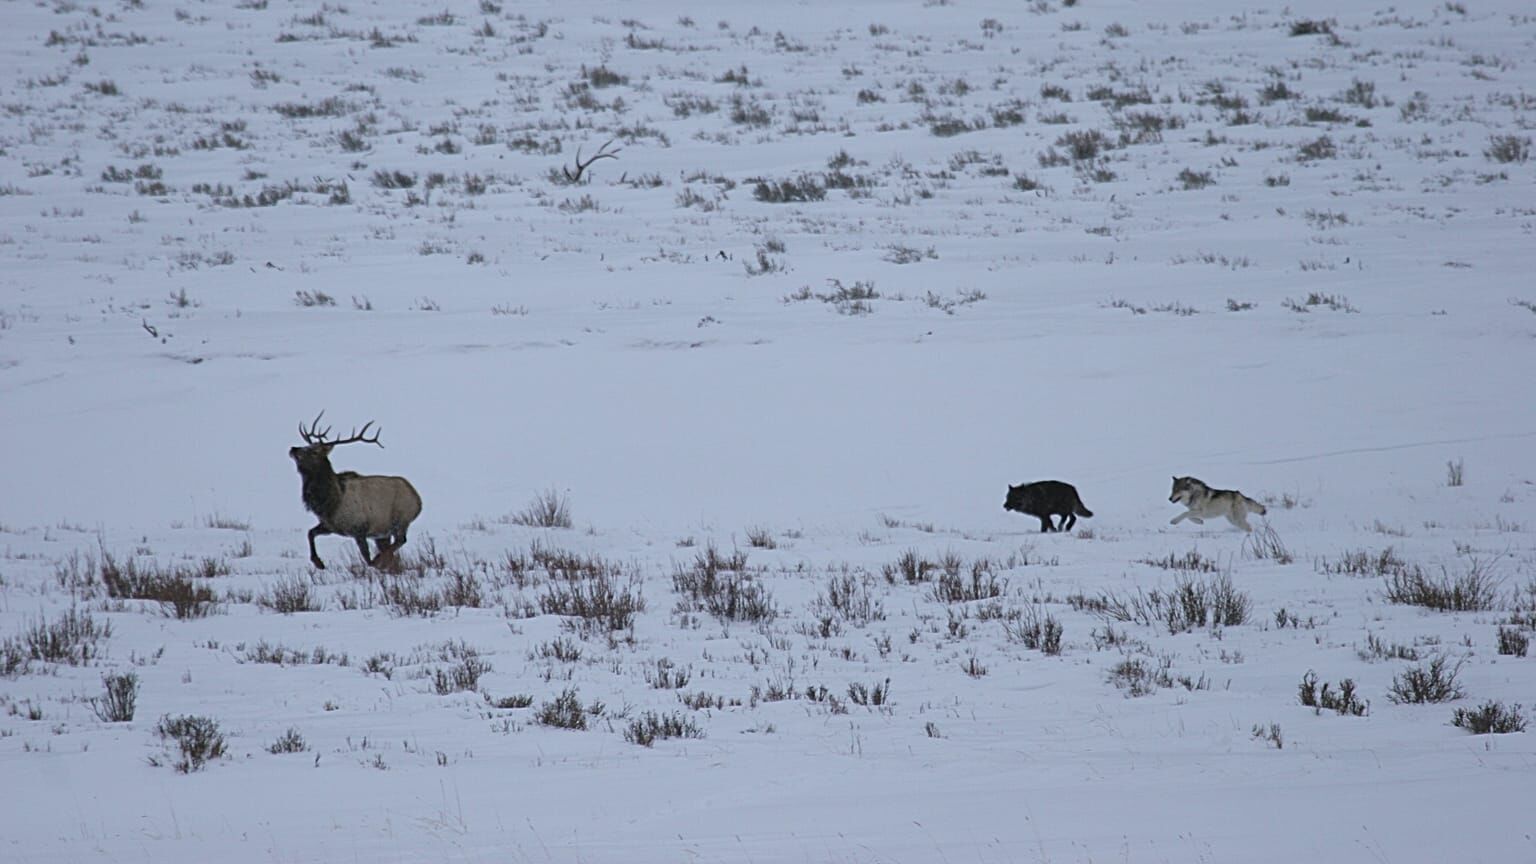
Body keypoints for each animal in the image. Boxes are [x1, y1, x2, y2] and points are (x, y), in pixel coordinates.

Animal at [287, 412, 420, 568]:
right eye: (307, 445)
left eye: (314, 451)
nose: (294, 449)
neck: (330, 502)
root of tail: (418, 501)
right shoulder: (330, 526)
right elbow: (310, 533)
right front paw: (318, 562)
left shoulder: (359, 528)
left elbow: (366, 557)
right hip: (383, 532)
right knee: (391, 548)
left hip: (401, 520)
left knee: (400, 540)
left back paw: (379, 559)